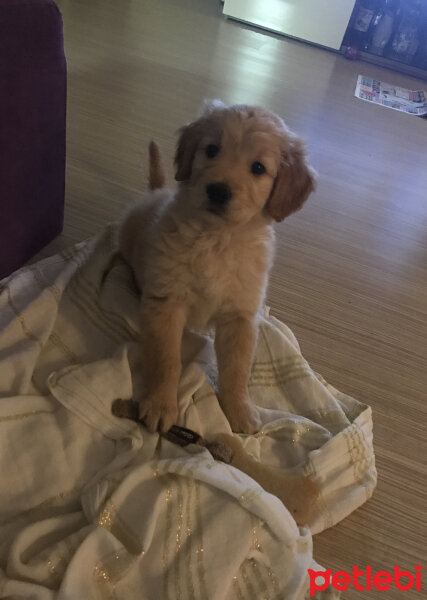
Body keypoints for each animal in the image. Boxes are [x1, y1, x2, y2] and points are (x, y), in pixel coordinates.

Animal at [118, 101, 316, 434]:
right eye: (212, 149)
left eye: (258, 168)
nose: (218, 191)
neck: (217, 239)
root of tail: (154, 192)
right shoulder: (166, 302)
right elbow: (166, 359)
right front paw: (160, 404)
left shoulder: (239, 316)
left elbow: (237, 370)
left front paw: (239, 410)